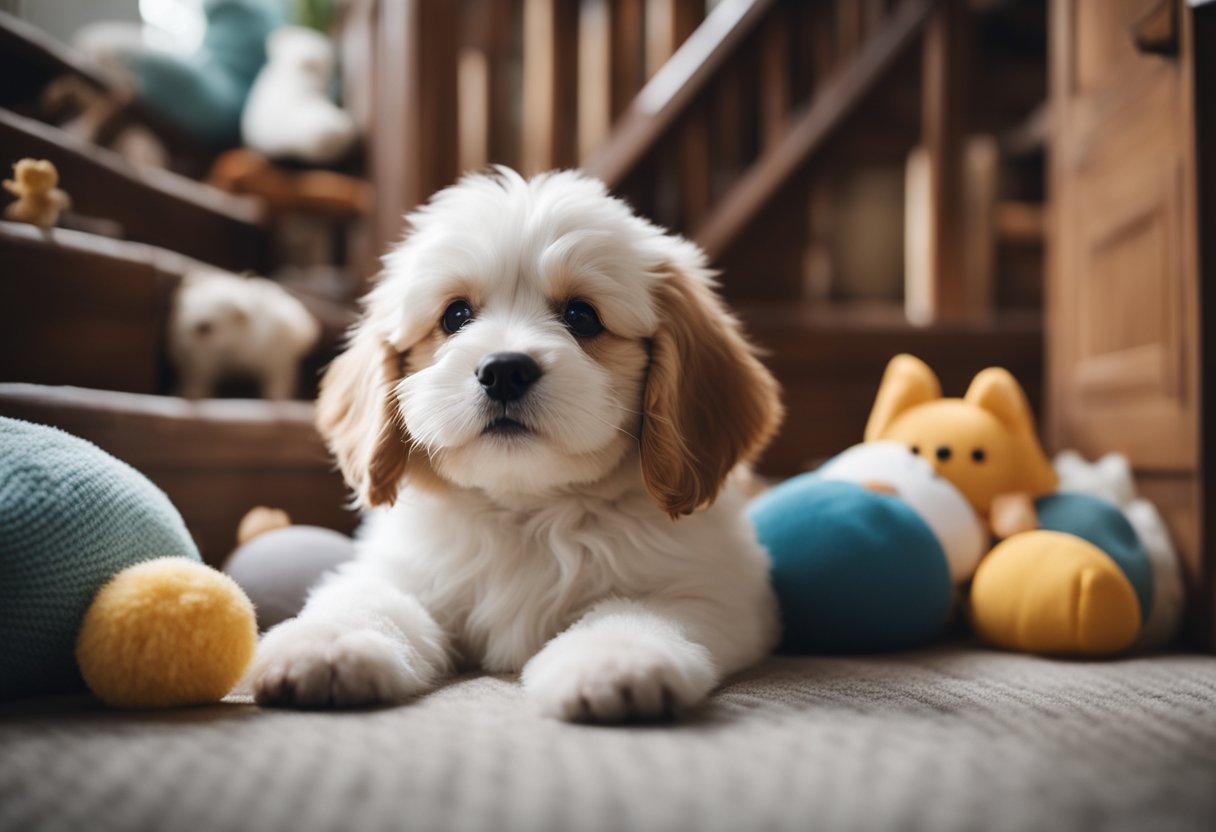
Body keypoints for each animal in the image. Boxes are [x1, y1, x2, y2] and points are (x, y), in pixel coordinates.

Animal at [172, 271, 323, 401]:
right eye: (181, 312)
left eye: (205, 328)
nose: (180, 349)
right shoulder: (203, 364)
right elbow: (199, 379)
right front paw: (192, 393)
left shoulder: (279, 361)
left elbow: (278, 383)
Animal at [250, 170, 783, 720]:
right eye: (455, 315)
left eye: (582, 316)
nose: (504, 370)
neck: (525, 511)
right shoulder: (399, 572)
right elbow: (370, 601)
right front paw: (328, 645)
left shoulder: (711, 589)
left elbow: (637, 610)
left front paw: (615, 658)